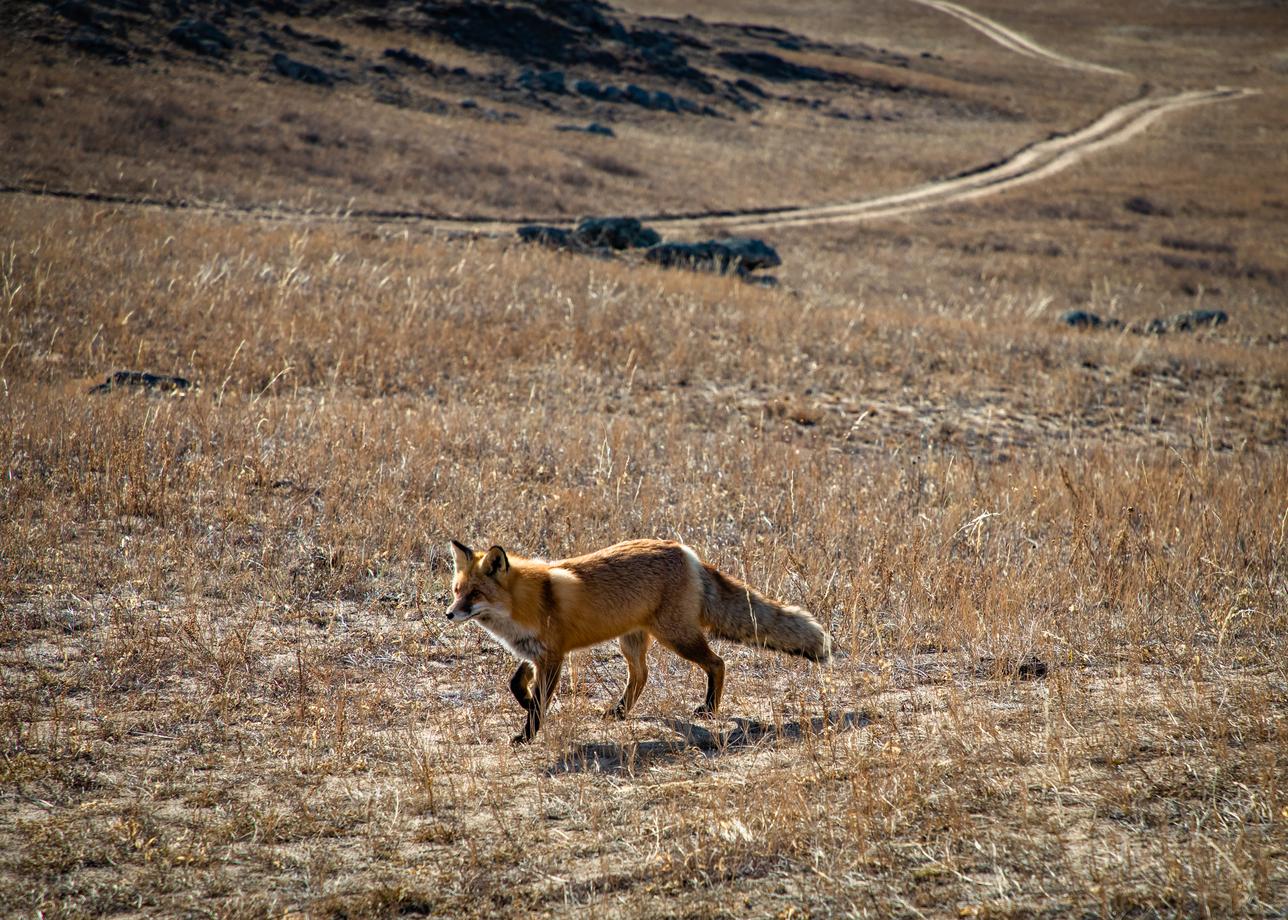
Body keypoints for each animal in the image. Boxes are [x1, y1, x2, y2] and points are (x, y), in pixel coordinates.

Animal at [443, 541, 829, 742]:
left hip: (677, 637)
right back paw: (621, 710)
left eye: (474, 594)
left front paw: (527, 734)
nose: (448, 614)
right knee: (642, 676)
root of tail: (685, 551)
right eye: (457, 591)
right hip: (632, 641)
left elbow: (539, 704)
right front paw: (524, 704)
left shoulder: (553, 656)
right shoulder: (536, 654)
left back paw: (709, 708)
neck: (524, 603)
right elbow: (516, 684)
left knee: (718, 663)